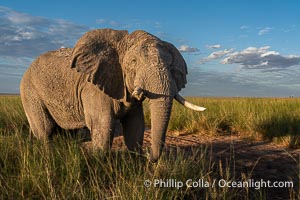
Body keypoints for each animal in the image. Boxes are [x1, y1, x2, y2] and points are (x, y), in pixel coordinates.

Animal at [19, 28, 205, 162]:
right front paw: (99, 164)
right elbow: (103, 126)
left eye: (170, 64)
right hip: (30, 91)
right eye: (133, 62)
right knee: (45, 130)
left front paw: (136, 163)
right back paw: (49, 158)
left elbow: (135, 126)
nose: (149, 156)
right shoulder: (93, 88)